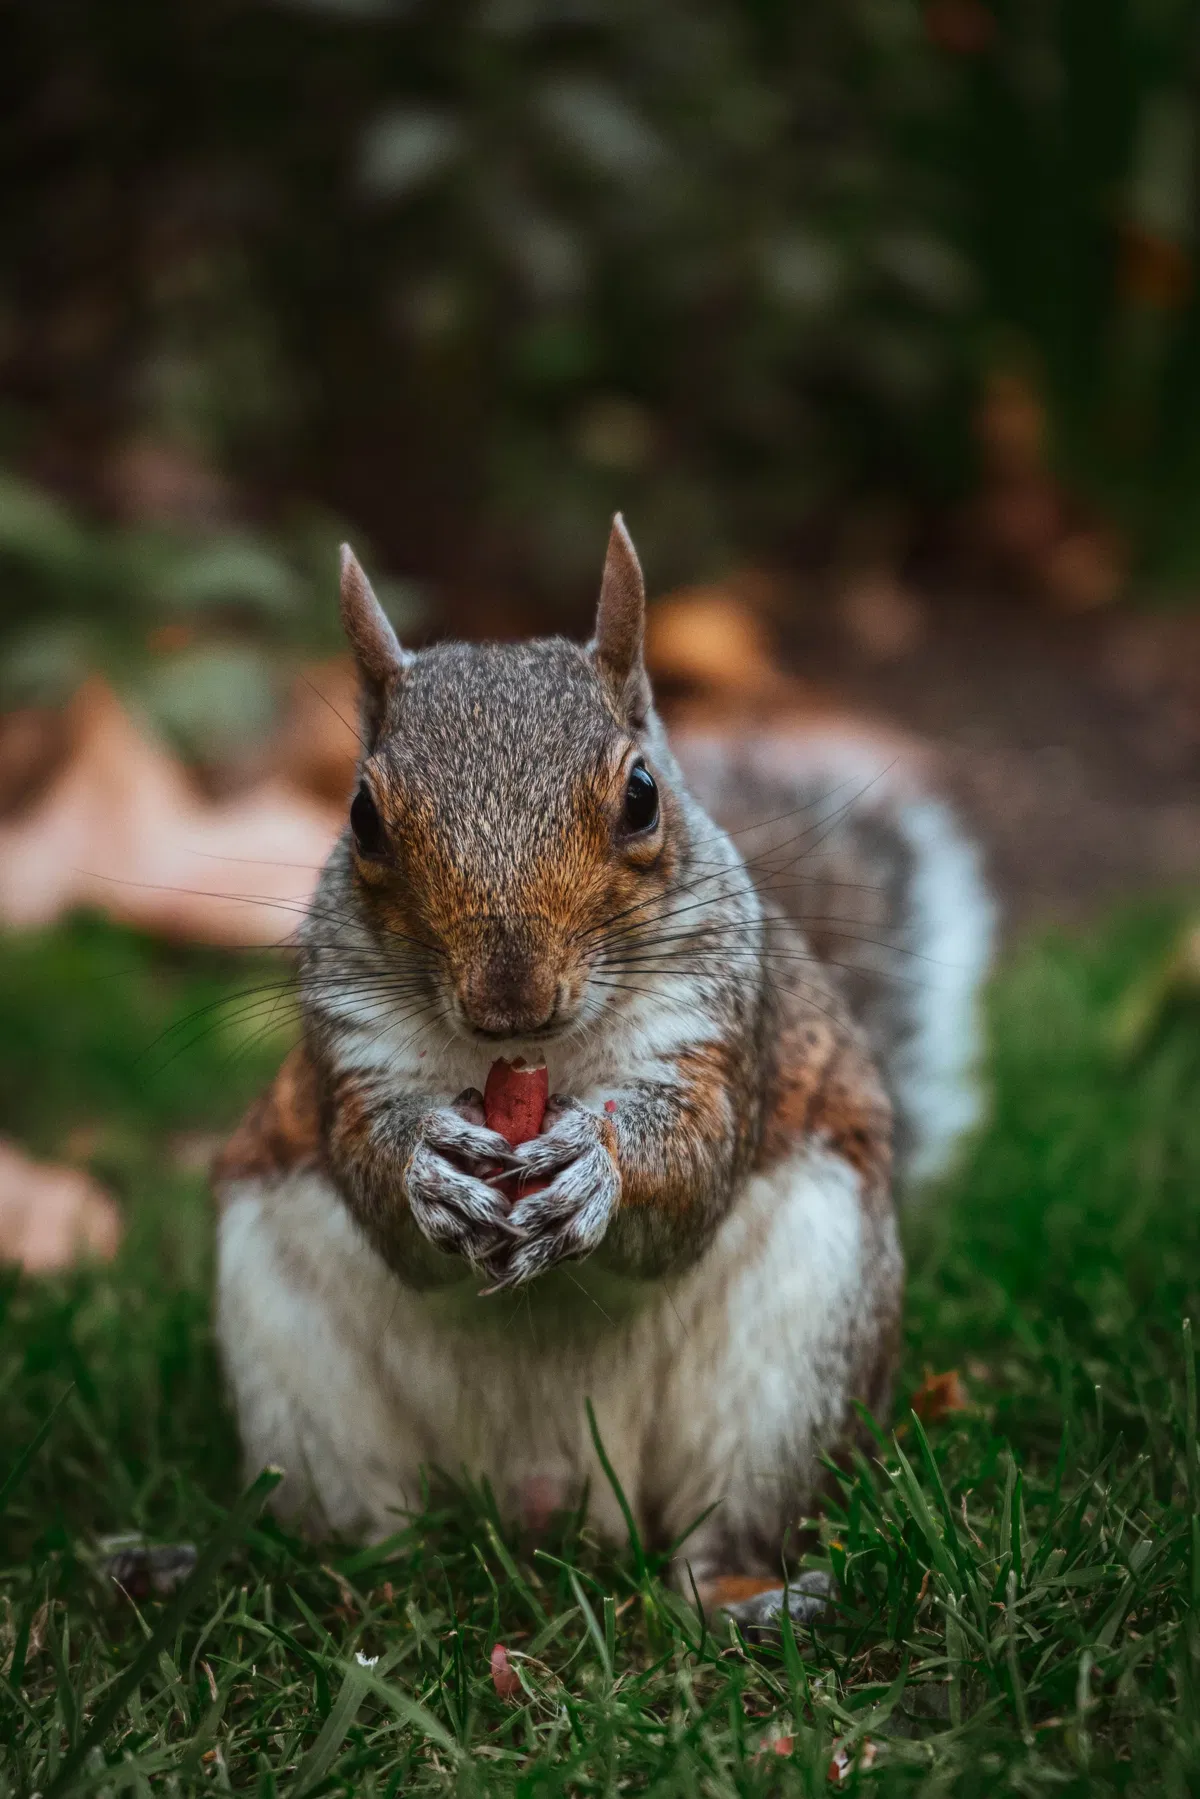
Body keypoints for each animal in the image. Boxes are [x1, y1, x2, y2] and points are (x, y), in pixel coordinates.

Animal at [213, 517, 994, 1630]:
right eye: (361, 814)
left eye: (641, 795)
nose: (510, 996)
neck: (532, 1060)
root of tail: (547, 1504)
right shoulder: (347, 1045)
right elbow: (373, 1177)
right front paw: (429, 1165)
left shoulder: (720, 1026)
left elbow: (695, 1169)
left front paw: (598, 1162)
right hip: (293, 1356)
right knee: (370, 1520)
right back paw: (344, 1586)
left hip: (798, 1345)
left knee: (729, 1520)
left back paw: (745, 1594)